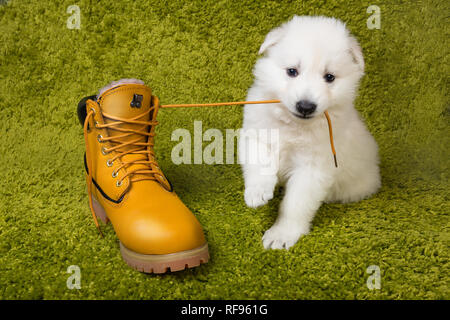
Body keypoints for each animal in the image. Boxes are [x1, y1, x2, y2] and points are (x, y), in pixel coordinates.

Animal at [239, 15, 380, 250]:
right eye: (292, 71)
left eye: (329, 77)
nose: (306, 106)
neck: (293, 124)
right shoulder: (258, 135)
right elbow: (259, 165)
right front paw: (257, 192)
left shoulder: (313, 168)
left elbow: (295, 204)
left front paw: (282, 234)